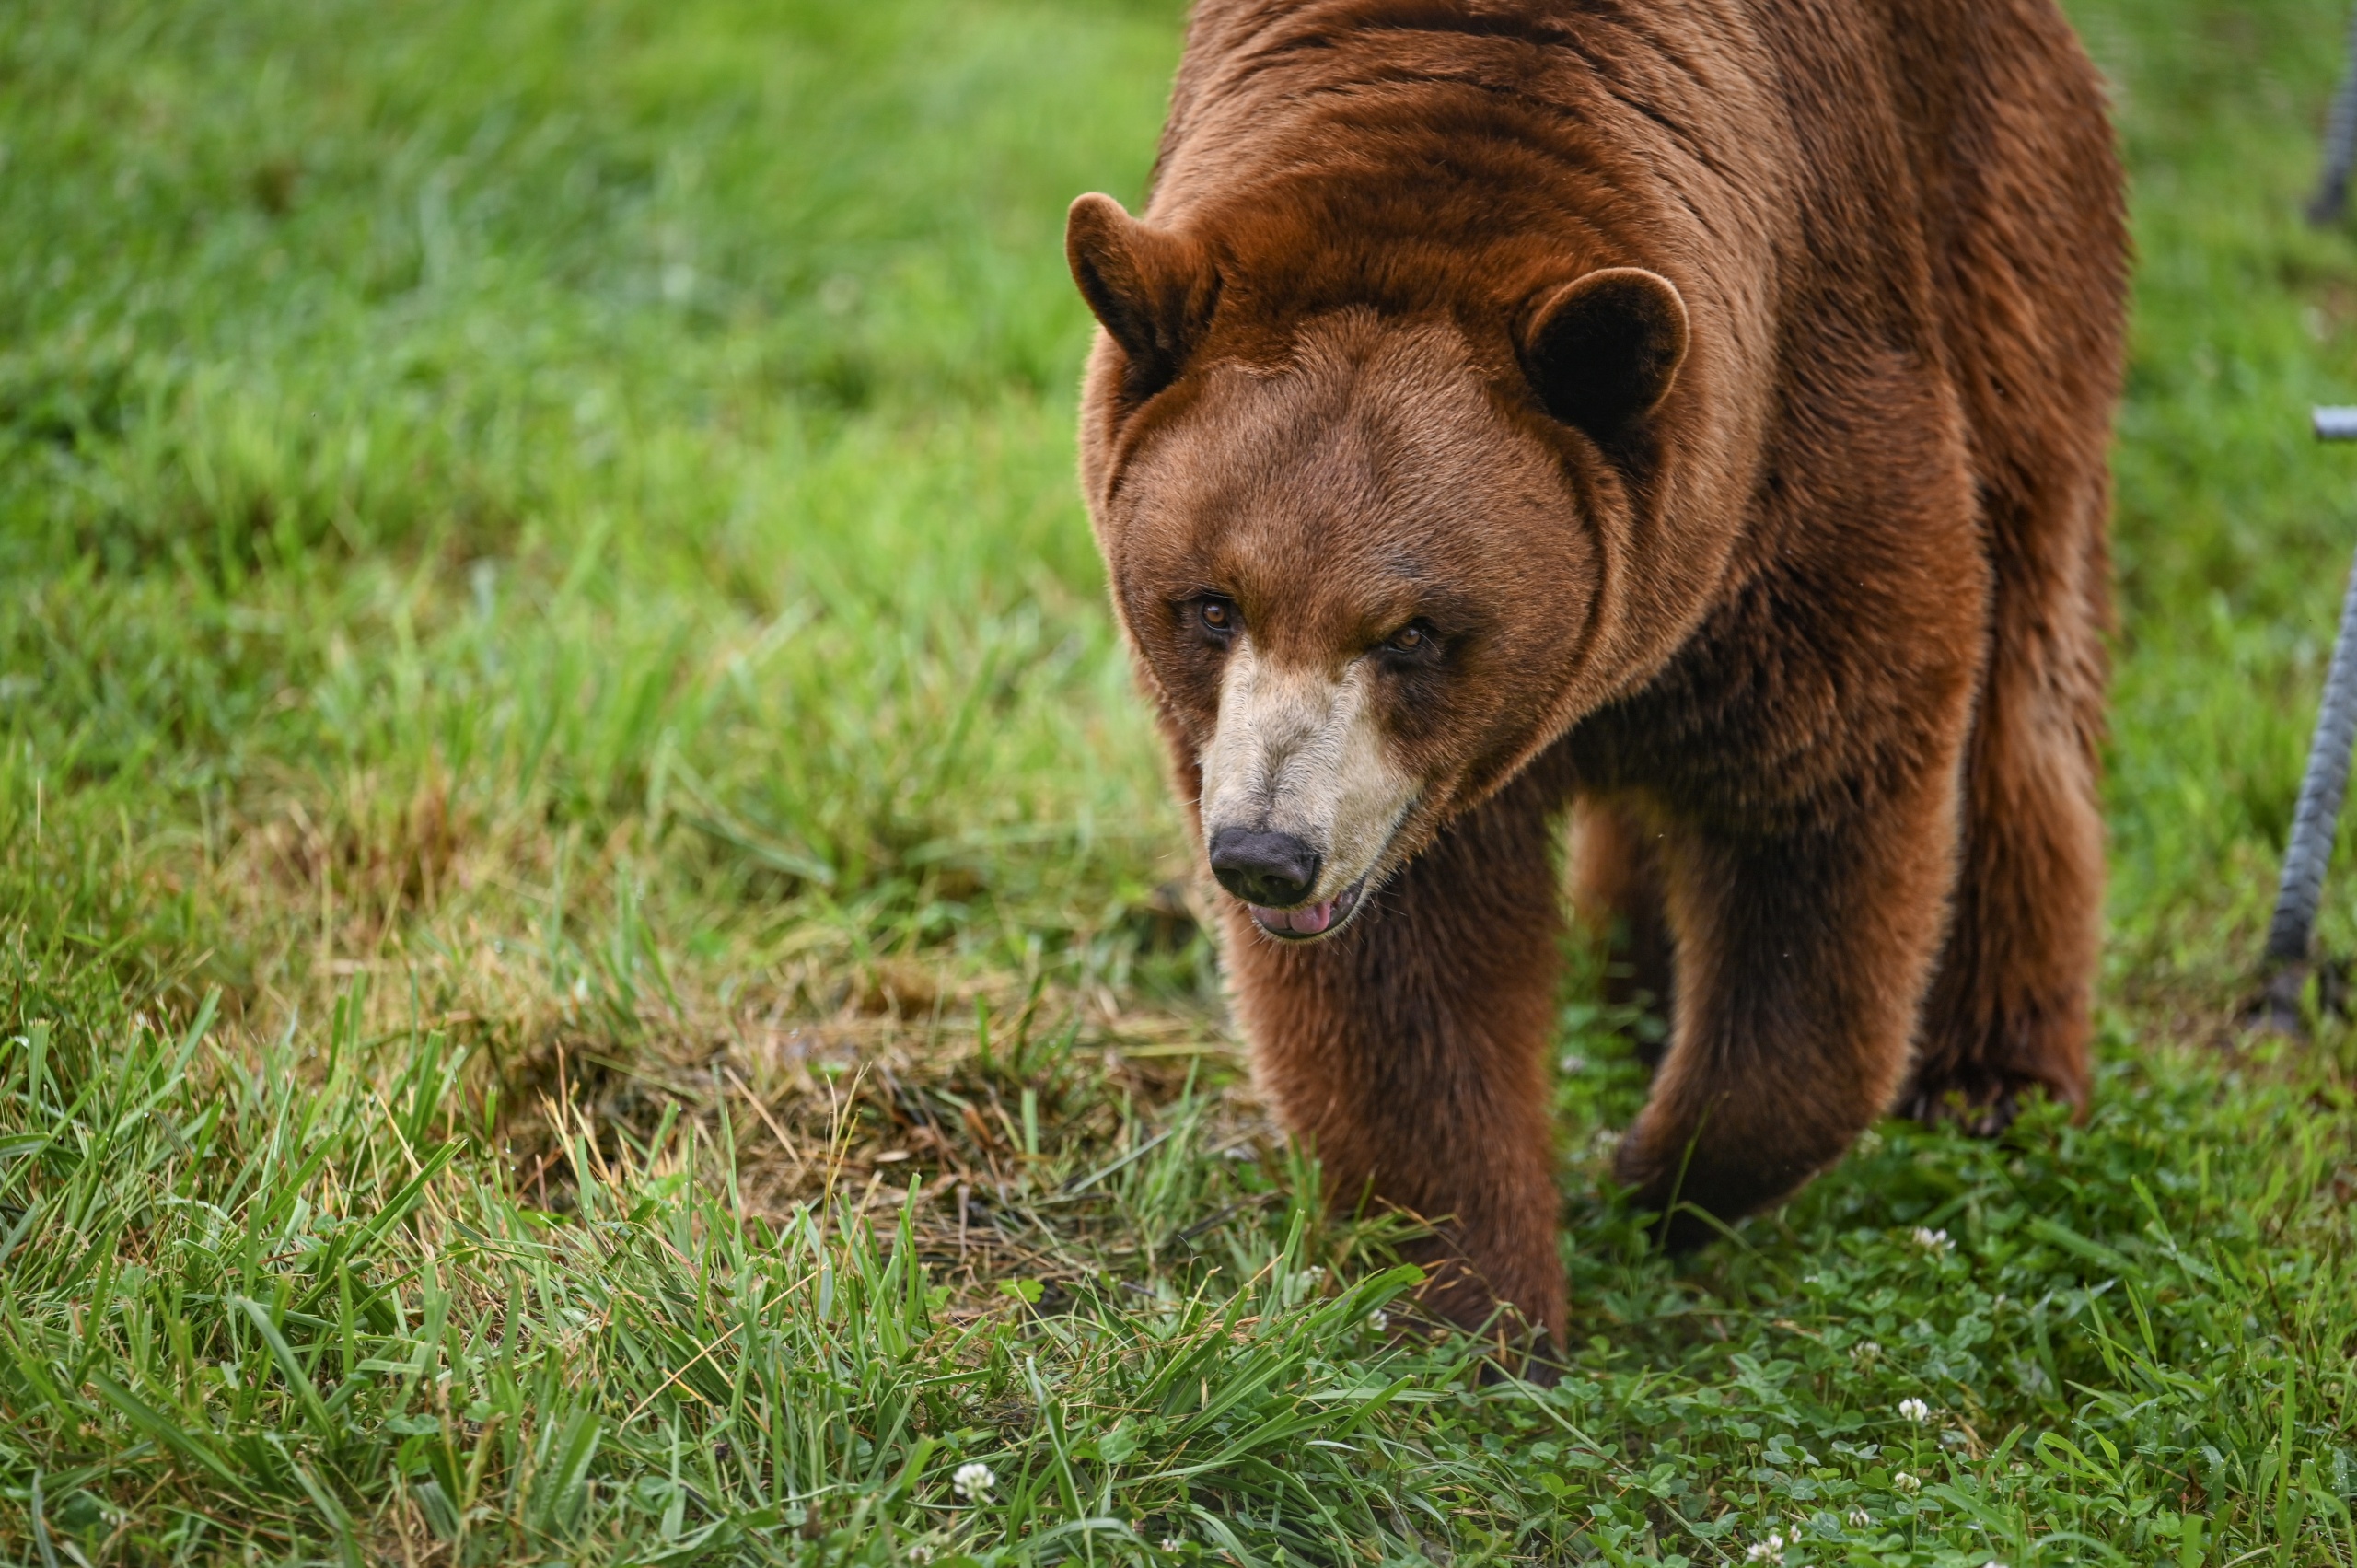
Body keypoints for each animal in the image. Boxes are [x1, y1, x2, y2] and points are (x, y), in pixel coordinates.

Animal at [1065, 0, 2126, 1353]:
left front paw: (1656, 1173)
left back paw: (1992, 1073)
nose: (1265, 853)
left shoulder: (1803, 432)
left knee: (2022, 654)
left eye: (1413, 630)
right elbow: (1404, 975)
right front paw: (1471, 1302)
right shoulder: (1345, 774)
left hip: (2001, 230)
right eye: (1210, 602)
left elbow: (1823, 804)